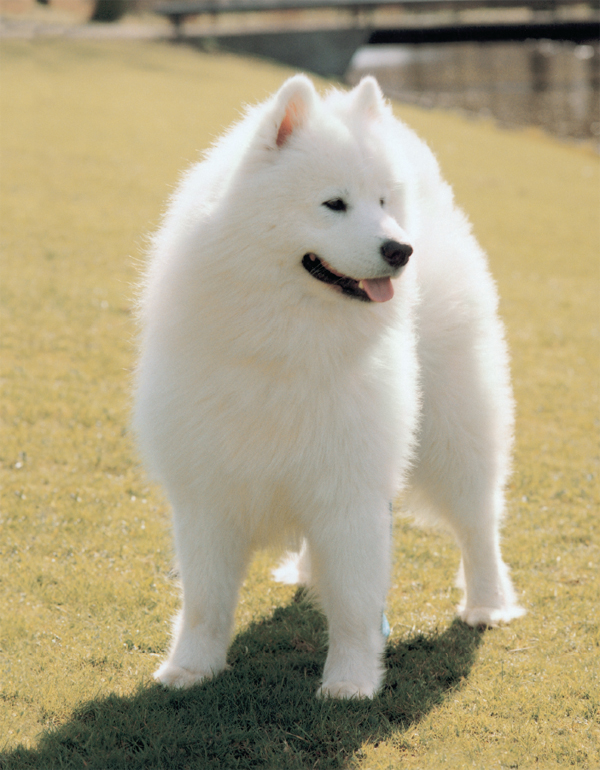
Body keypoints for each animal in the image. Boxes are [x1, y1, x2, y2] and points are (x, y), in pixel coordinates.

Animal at [134, 75, 524, 700]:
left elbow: (356, 607)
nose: (401, 250)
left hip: (455, 429)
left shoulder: (351, 492)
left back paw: (487, 606)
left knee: (478, 522)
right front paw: (190, 669)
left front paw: (350, 683)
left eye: (383, 202)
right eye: (334, 203)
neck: (288, 340)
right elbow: (205, 600)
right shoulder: (208, 492)